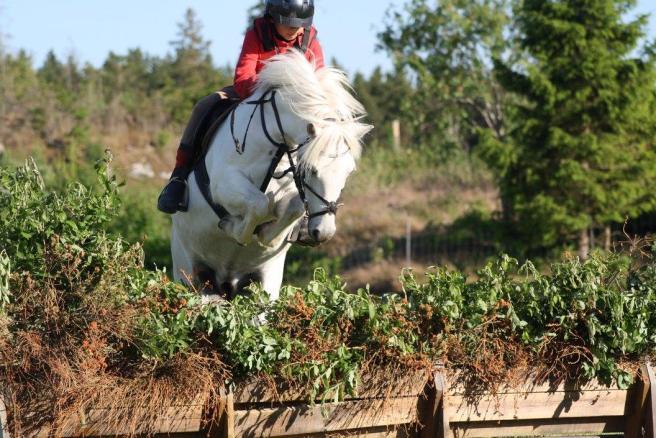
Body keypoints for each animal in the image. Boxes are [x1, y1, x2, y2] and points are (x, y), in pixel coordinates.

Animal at [172, 49, 372, 300]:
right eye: (311, 170)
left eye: (348, 173)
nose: (324, 232)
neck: (277, 139)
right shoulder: (224, 184)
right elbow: (259, 204)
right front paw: (232, 227)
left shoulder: (292, 189)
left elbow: (290, 210)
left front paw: (267, 235)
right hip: (189, 272)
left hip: (265, 281)